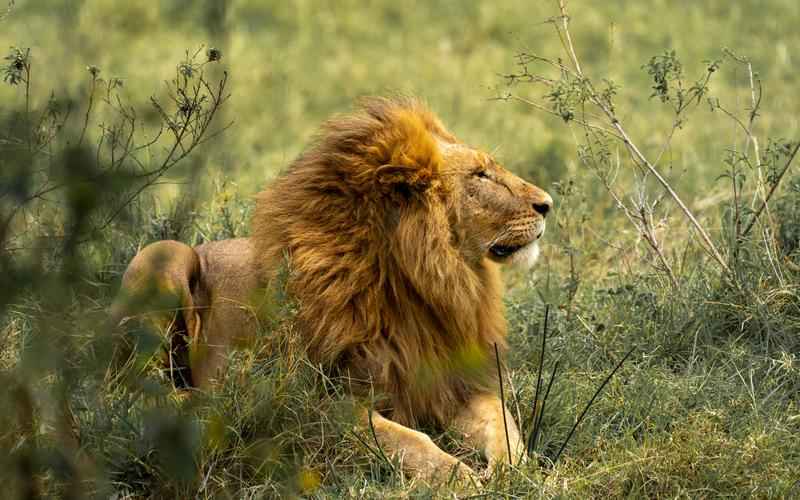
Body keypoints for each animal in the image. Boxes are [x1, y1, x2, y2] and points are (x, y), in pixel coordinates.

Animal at [111, 96, 552, 484]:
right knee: (131, 389)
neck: (422, 284)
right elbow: (406, 439)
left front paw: (513, 470)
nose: (548, 203)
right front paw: (458, 476)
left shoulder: (453, 383)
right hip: (164, 254)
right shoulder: (318, 402)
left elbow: (503, 422)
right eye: (480, 175)